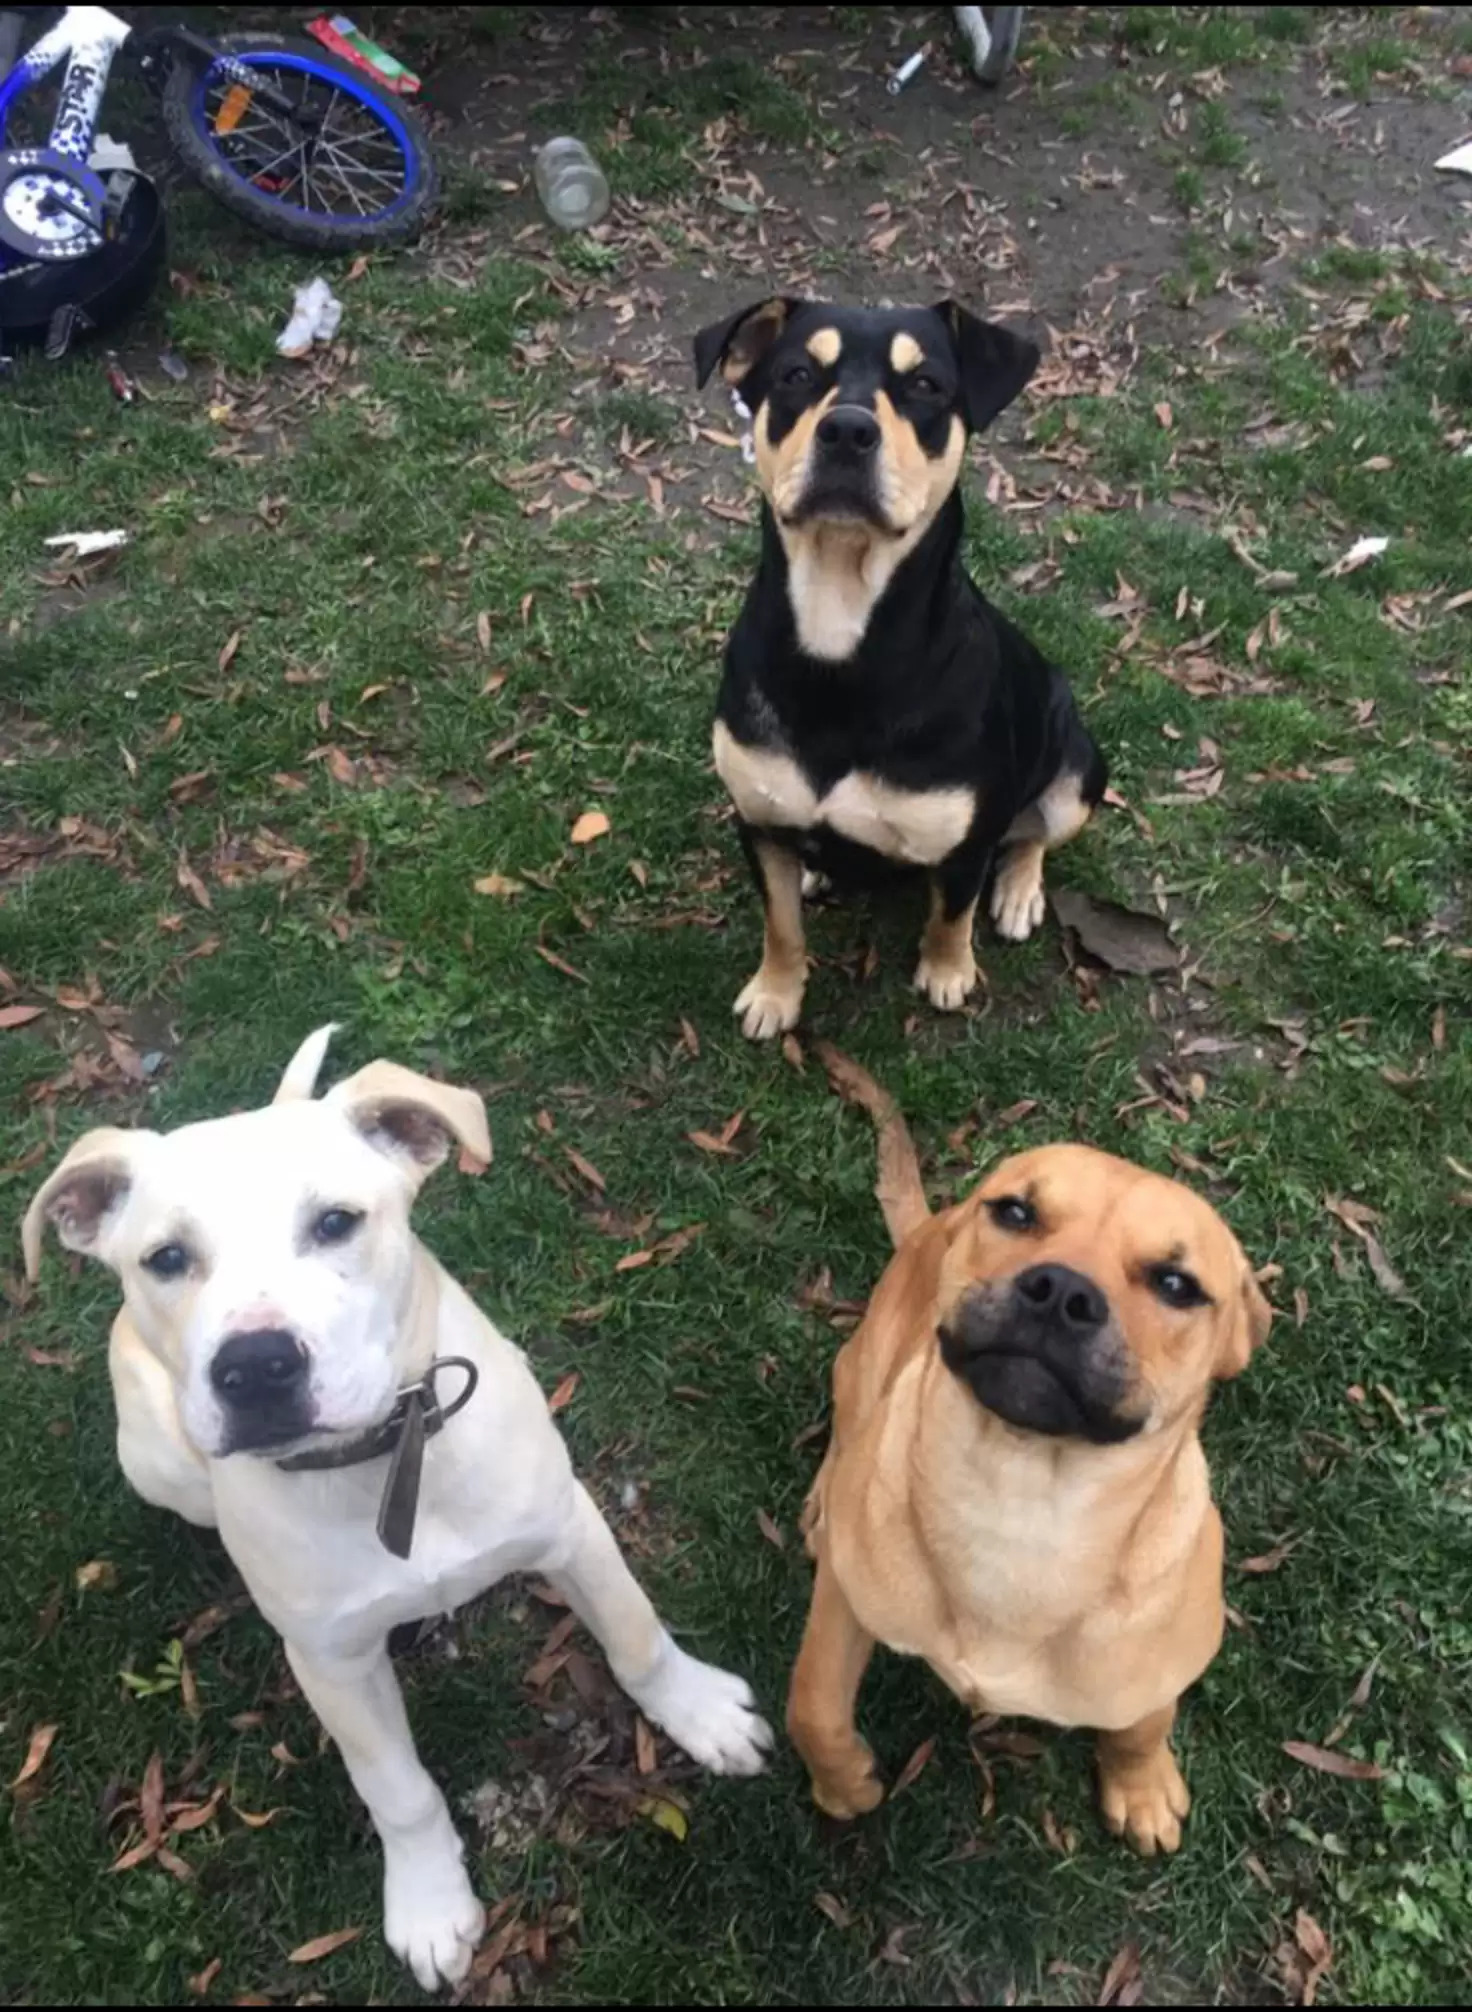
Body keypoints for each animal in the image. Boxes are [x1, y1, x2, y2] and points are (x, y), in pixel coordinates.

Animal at [22, 1030, 772, 1987]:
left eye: (337, 1222)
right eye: (166, 1259)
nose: (256, 1368)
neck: (386, 1456)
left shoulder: (571, 1528)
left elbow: (637, 1638)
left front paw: (701, 1714)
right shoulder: (333, 1663)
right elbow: (397, 1789)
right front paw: (429, 1901)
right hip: (153, 1461)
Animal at [691, 301, 1101, 1054]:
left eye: (927, 385)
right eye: (796, 375)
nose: (848, 429)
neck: (842, 635)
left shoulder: (967, 842)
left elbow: (951, 913)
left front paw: (947, 971)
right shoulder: (758, 824)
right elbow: (780, 924)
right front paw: (775, 992)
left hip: (1077, 769)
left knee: (1034, 833)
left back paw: (1018, 891)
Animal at [788, 1054, 1270, 1851]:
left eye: (1177, 1284)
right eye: (1016, 1212)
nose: (1061, 1290)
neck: (1022, 1501)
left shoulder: (1160, 1661)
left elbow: (1144, 1721)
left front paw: (1140, 1784)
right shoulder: (844, 1600)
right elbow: (814, 1705)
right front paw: (842, 1784)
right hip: (859, 1368)